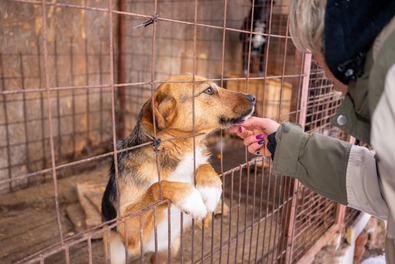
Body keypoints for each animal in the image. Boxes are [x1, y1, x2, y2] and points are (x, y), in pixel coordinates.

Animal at [101, 73, 256, 262]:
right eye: (208, 90)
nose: (253, 97)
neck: (176, 149)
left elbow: (204, 165)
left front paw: (211, 190)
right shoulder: (128, 229)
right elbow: (157, 185)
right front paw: (191, 198)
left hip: (169, 249)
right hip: (117, 253)